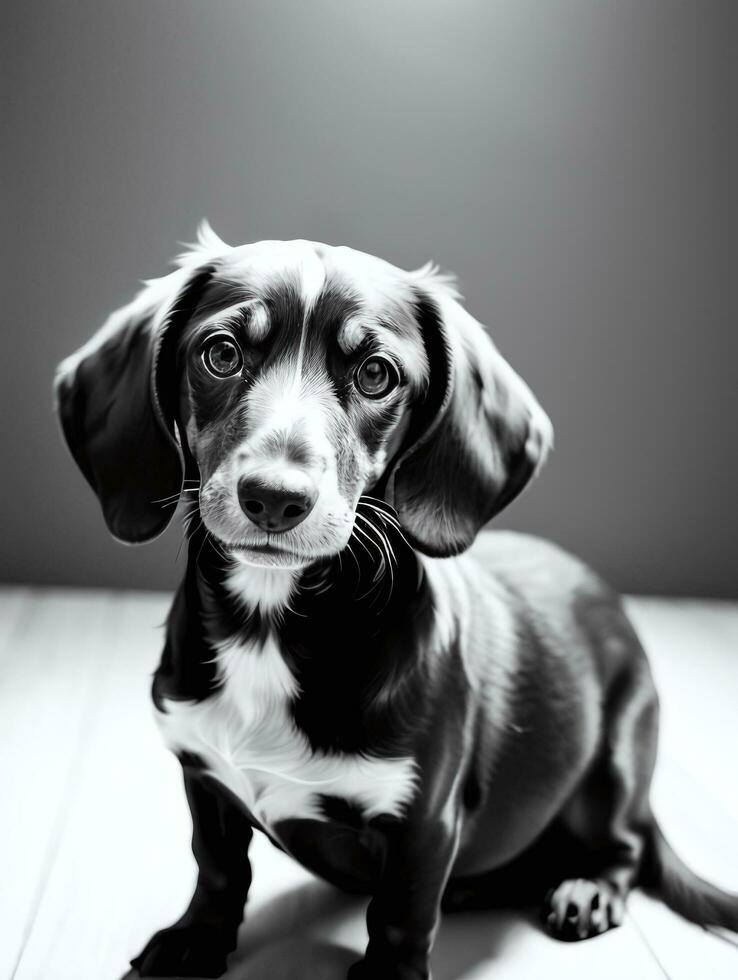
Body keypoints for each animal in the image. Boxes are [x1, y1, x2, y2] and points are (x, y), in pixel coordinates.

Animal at [53, 226, 736, 976]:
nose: (274, 499)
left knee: (625, 847)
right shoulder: (203, 774)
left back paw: (586, 888)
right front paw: (196, 939)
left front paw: (388, 971)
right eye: (222, 353)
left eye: (376, 374)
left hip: (616, 757)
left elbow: (402, 914)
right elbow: (218, 865)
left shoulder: (423, 819)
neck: (270, 626)